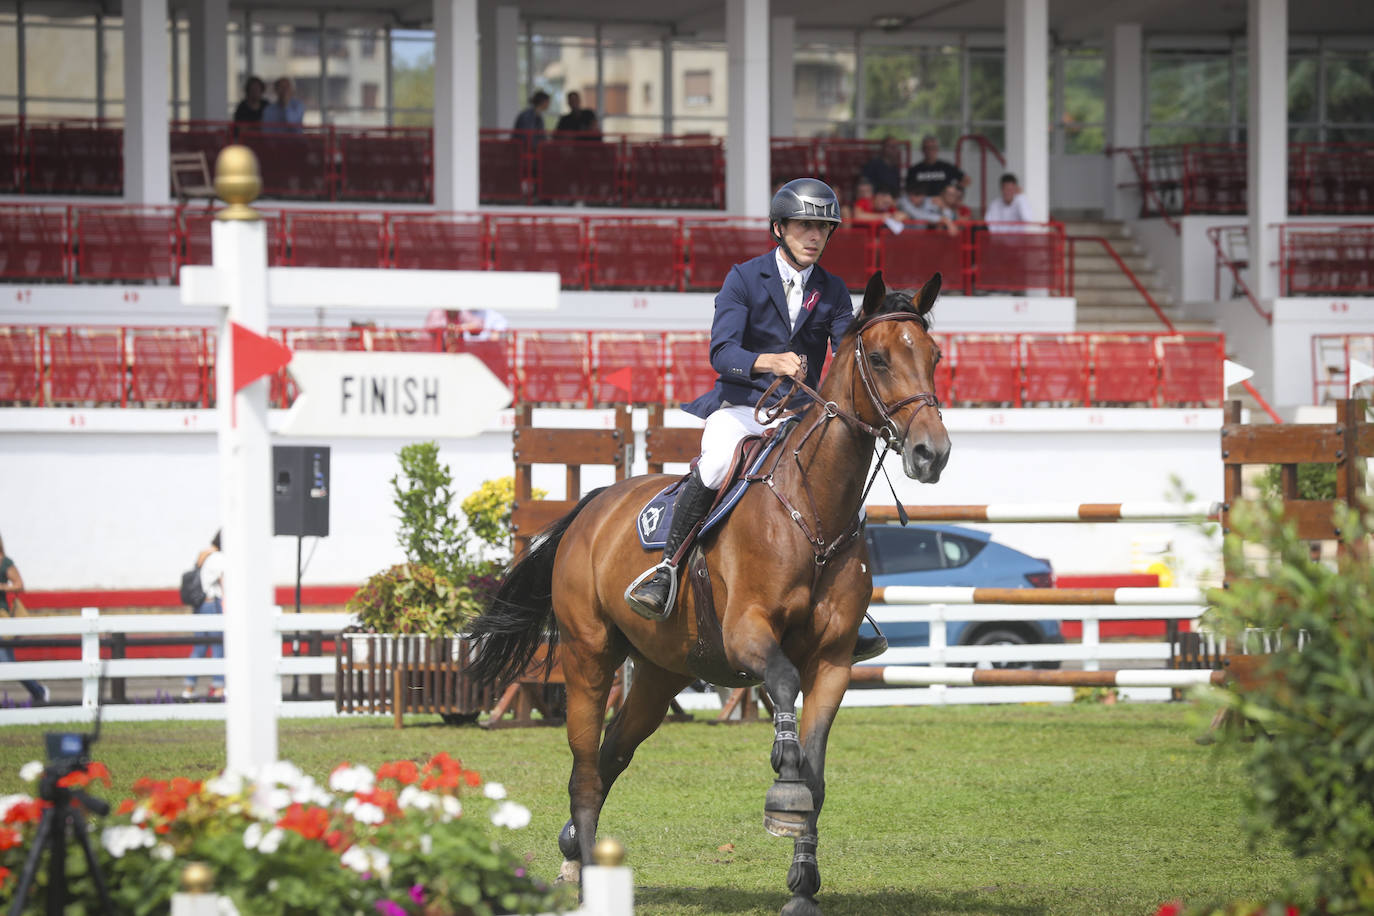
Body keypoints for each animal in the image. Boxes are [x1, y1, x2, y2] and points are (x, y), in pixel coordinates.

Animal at [467, 271, 950, 916]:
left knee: (613, 752)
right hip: (588, 655)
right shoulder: (747, 633)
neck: (815, 511)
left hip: (659, 671)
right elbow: (783, 688)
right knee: (587, 766)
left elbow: (817, 773)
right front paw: (783, 792)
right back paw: (588, 868)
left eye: (934, 356)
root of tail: (593, 505)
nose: (931, 453)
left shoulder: (834, 661)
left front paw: (803, 885)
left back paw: (573, 850)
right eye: (878, 358)